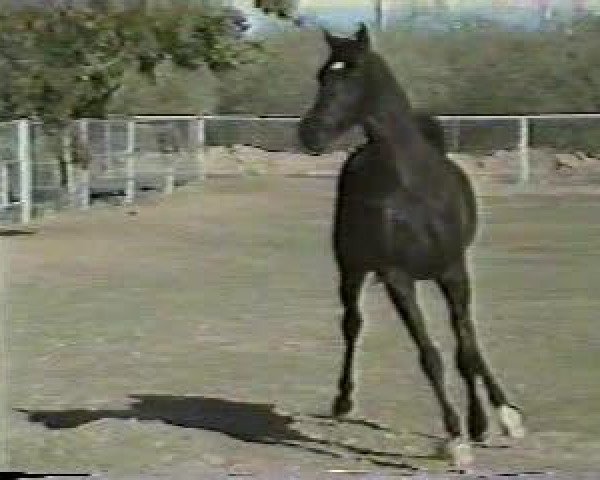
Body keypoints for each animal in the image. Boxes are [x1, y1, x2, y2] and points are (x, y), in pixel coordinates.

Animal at [298, 23, 524, 464]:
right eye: (321, 76)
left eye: (353, 75)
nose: (310, 133)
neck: (412, 186)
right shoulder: (397, 277)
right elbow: (430, 355)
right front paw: (455, 438)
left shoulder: (454, 270)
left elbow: (466, 350)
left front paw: (484, 422)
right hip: (351, 268)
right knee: (352, 324)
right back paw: (342, 401)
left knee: (469, 338)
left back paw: (503, 413)